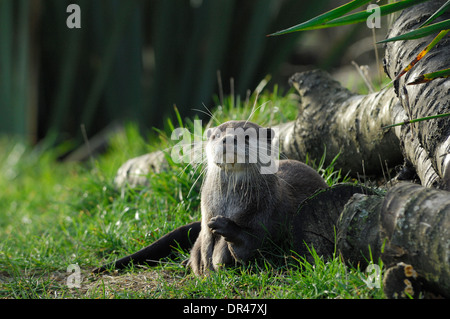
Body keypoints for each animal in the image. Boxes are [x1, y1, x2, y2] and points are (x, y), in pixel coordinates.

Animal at [93, 121, 328, 276]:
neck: (229, 205)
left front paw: (224, 227)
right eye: (216, 135)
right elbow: (203, 242)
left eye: (247, 136)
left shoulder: (269, 214)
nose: (227, 139)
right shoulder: (205, 214)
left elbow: (252, 246)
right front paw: (199, 264)